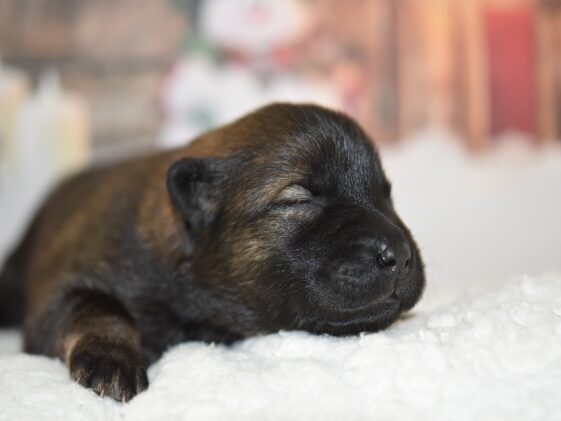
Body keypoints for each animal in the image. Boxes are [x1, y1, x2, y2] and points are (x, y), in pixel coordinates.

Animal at [0, 102, 422, 400]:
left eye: (386, 194)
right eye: (298, 198)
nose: (400, 256)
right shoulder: (62, 287)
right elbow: (97, 306)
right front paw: (112, 363)